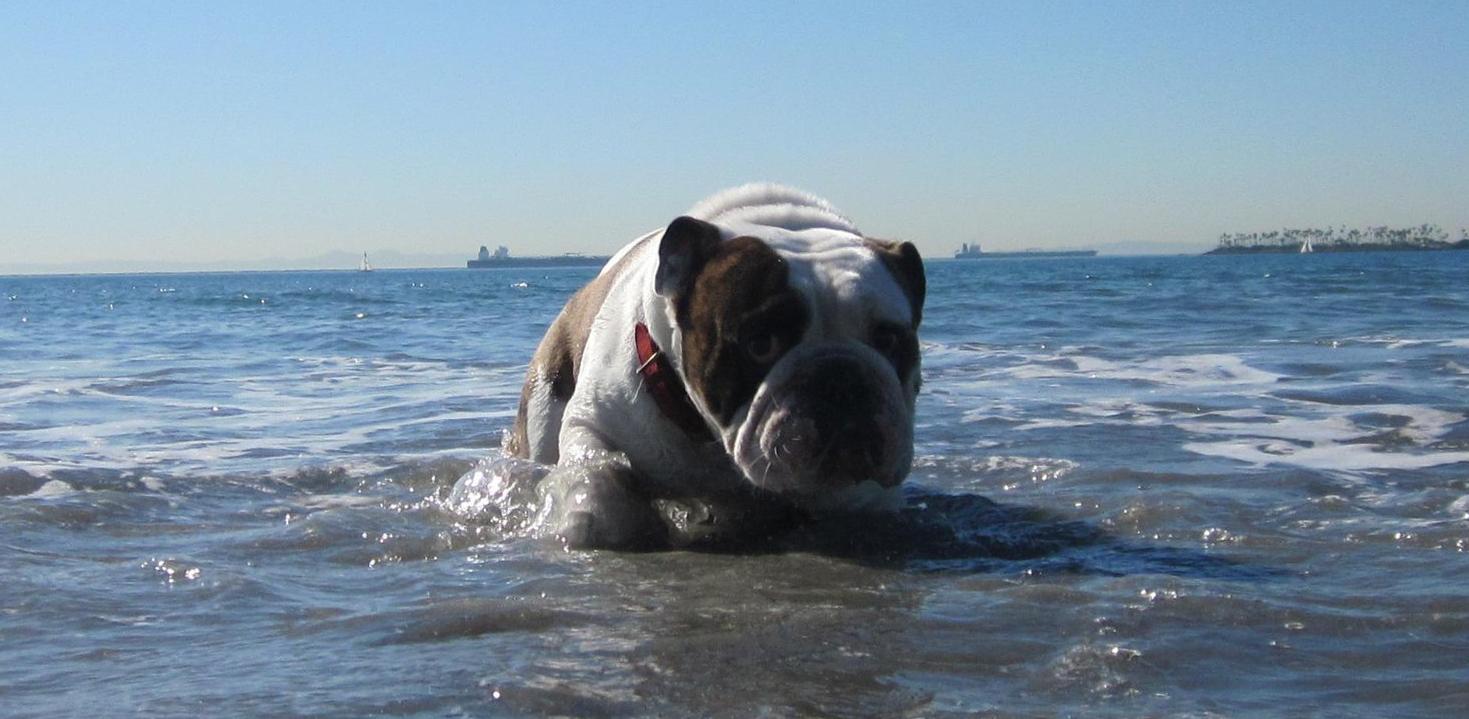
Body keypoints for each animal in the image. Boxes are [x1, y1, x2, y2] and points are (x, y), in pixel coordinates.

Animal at [507, 184, 925, 548]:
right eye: (761, 344)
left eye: (890, 339)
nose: (839, 376)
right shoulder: (594, 424)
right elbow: (595, 476)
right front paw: (594, 522)